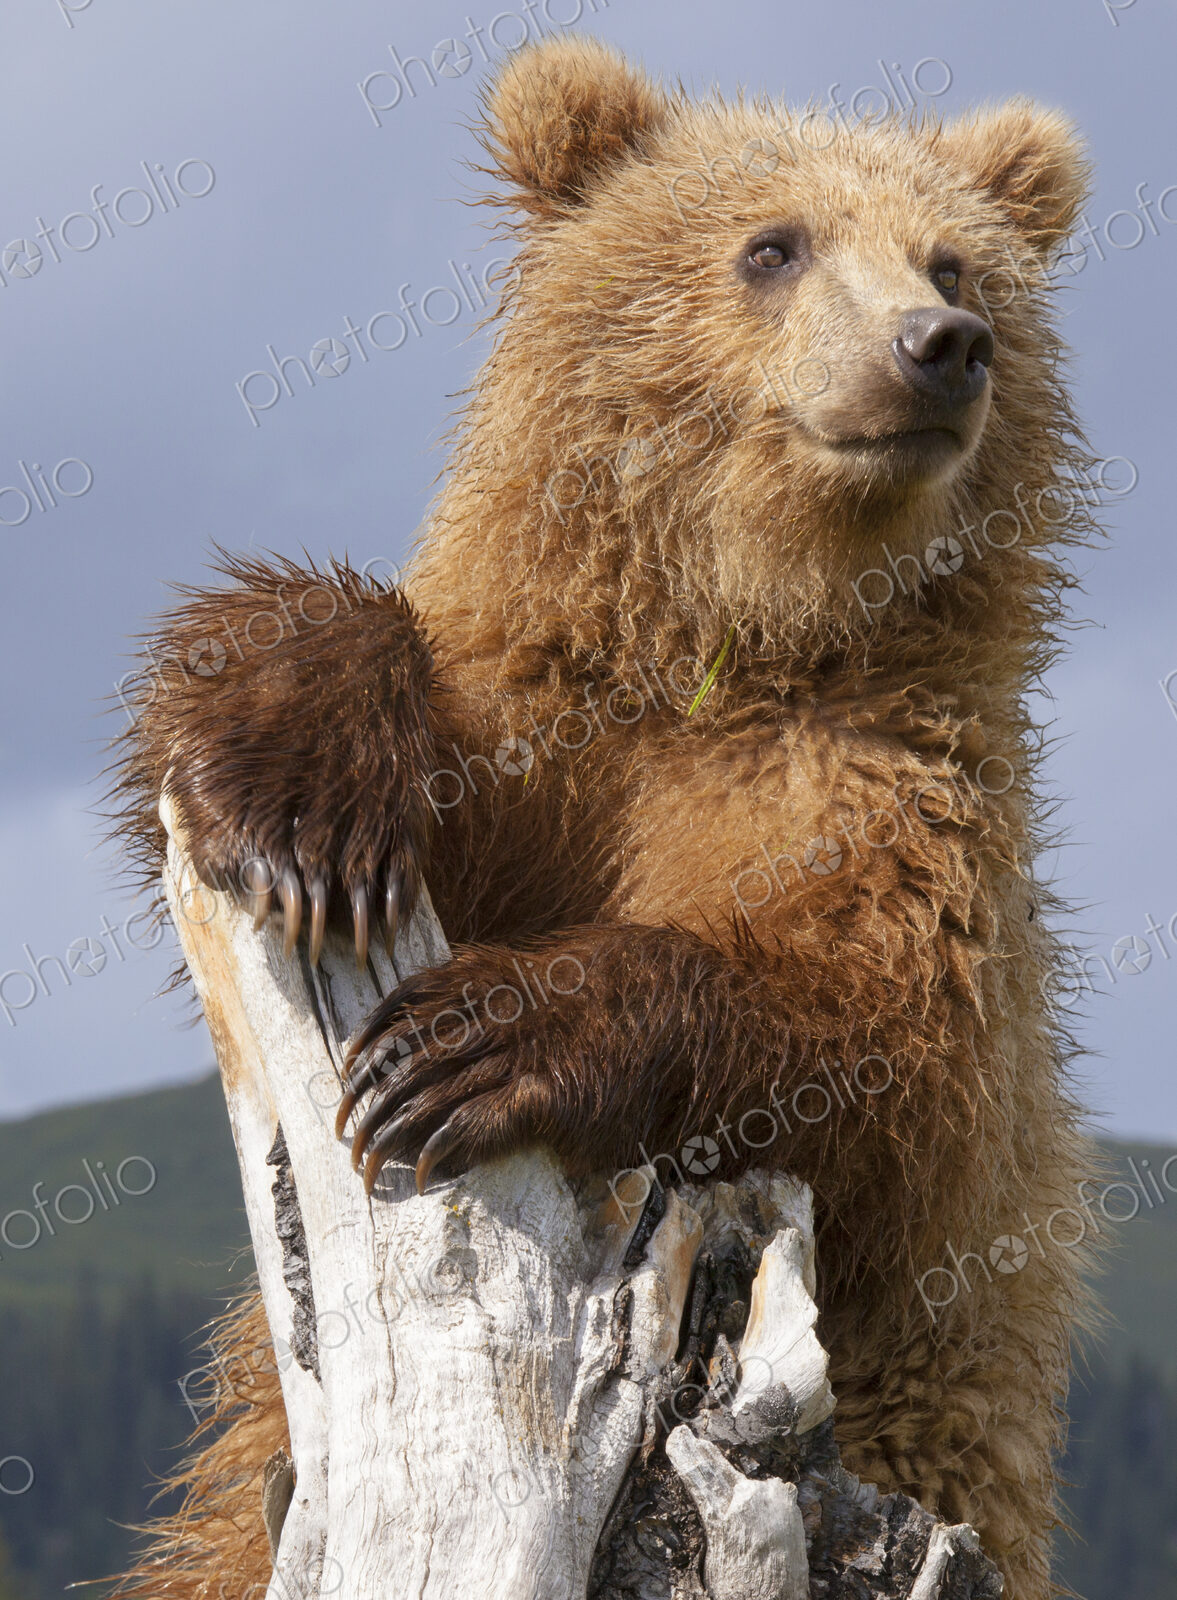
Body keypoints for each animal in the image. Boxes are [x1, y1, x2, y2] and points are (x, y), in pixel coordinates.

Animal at [111, 35, 1099, 1600]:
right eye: (772, 244)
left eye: (954, 259)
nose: (940, 343)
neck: (748, 632)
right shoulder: (550, 744)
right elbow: (320, 687)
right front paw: (300, 798)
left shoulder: (896, 809)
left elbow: (877, 1046)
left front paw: (471, 1041)